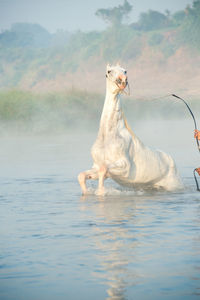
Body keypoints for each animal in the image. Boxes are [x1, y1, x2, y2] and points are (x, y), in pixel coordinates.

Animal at [78, 63, 183, 195]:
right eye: (109, 71)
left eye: (125, 71)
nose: (123, 80)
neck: (108, 137)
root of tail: (171, 160)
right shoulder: (97, 167)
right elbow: (83, 175)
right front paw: (87, 193)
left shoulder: (124, 166)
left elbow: (104, 169)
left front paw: (101, 191)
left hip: (174, 185)